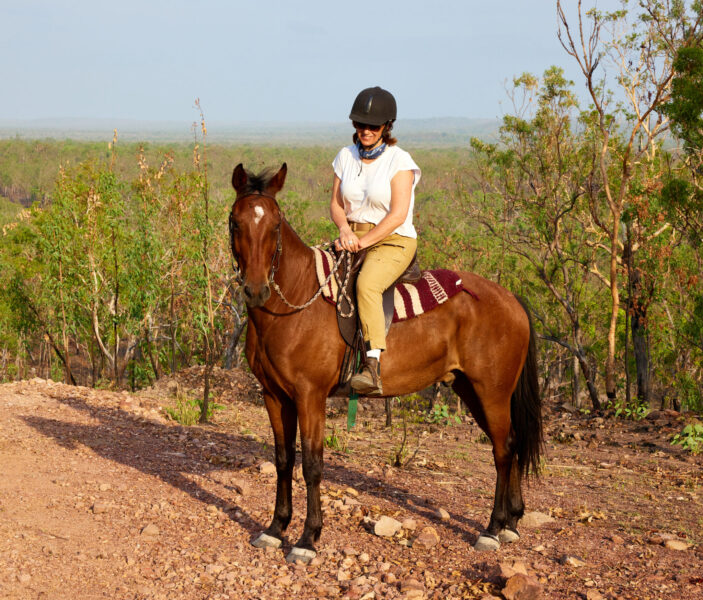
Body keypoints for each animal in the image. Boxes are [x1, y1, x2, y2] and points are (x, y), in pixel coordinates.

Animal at [228, 162, 543, 563]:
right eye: (236, 222)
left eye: (275, 224)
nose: (256, 289)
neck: (294, 303)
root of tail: (511, 299)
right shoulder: (274, 395)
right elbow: (284, 459)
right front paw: (274, 529)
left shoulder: (309, 397)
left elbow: (312, 465)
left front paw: (307, 539)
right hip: (472, 390)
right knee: (512, 444)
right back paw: (511, 523)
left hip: (493, 391)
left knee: (503, 450)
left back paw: (491, 529)